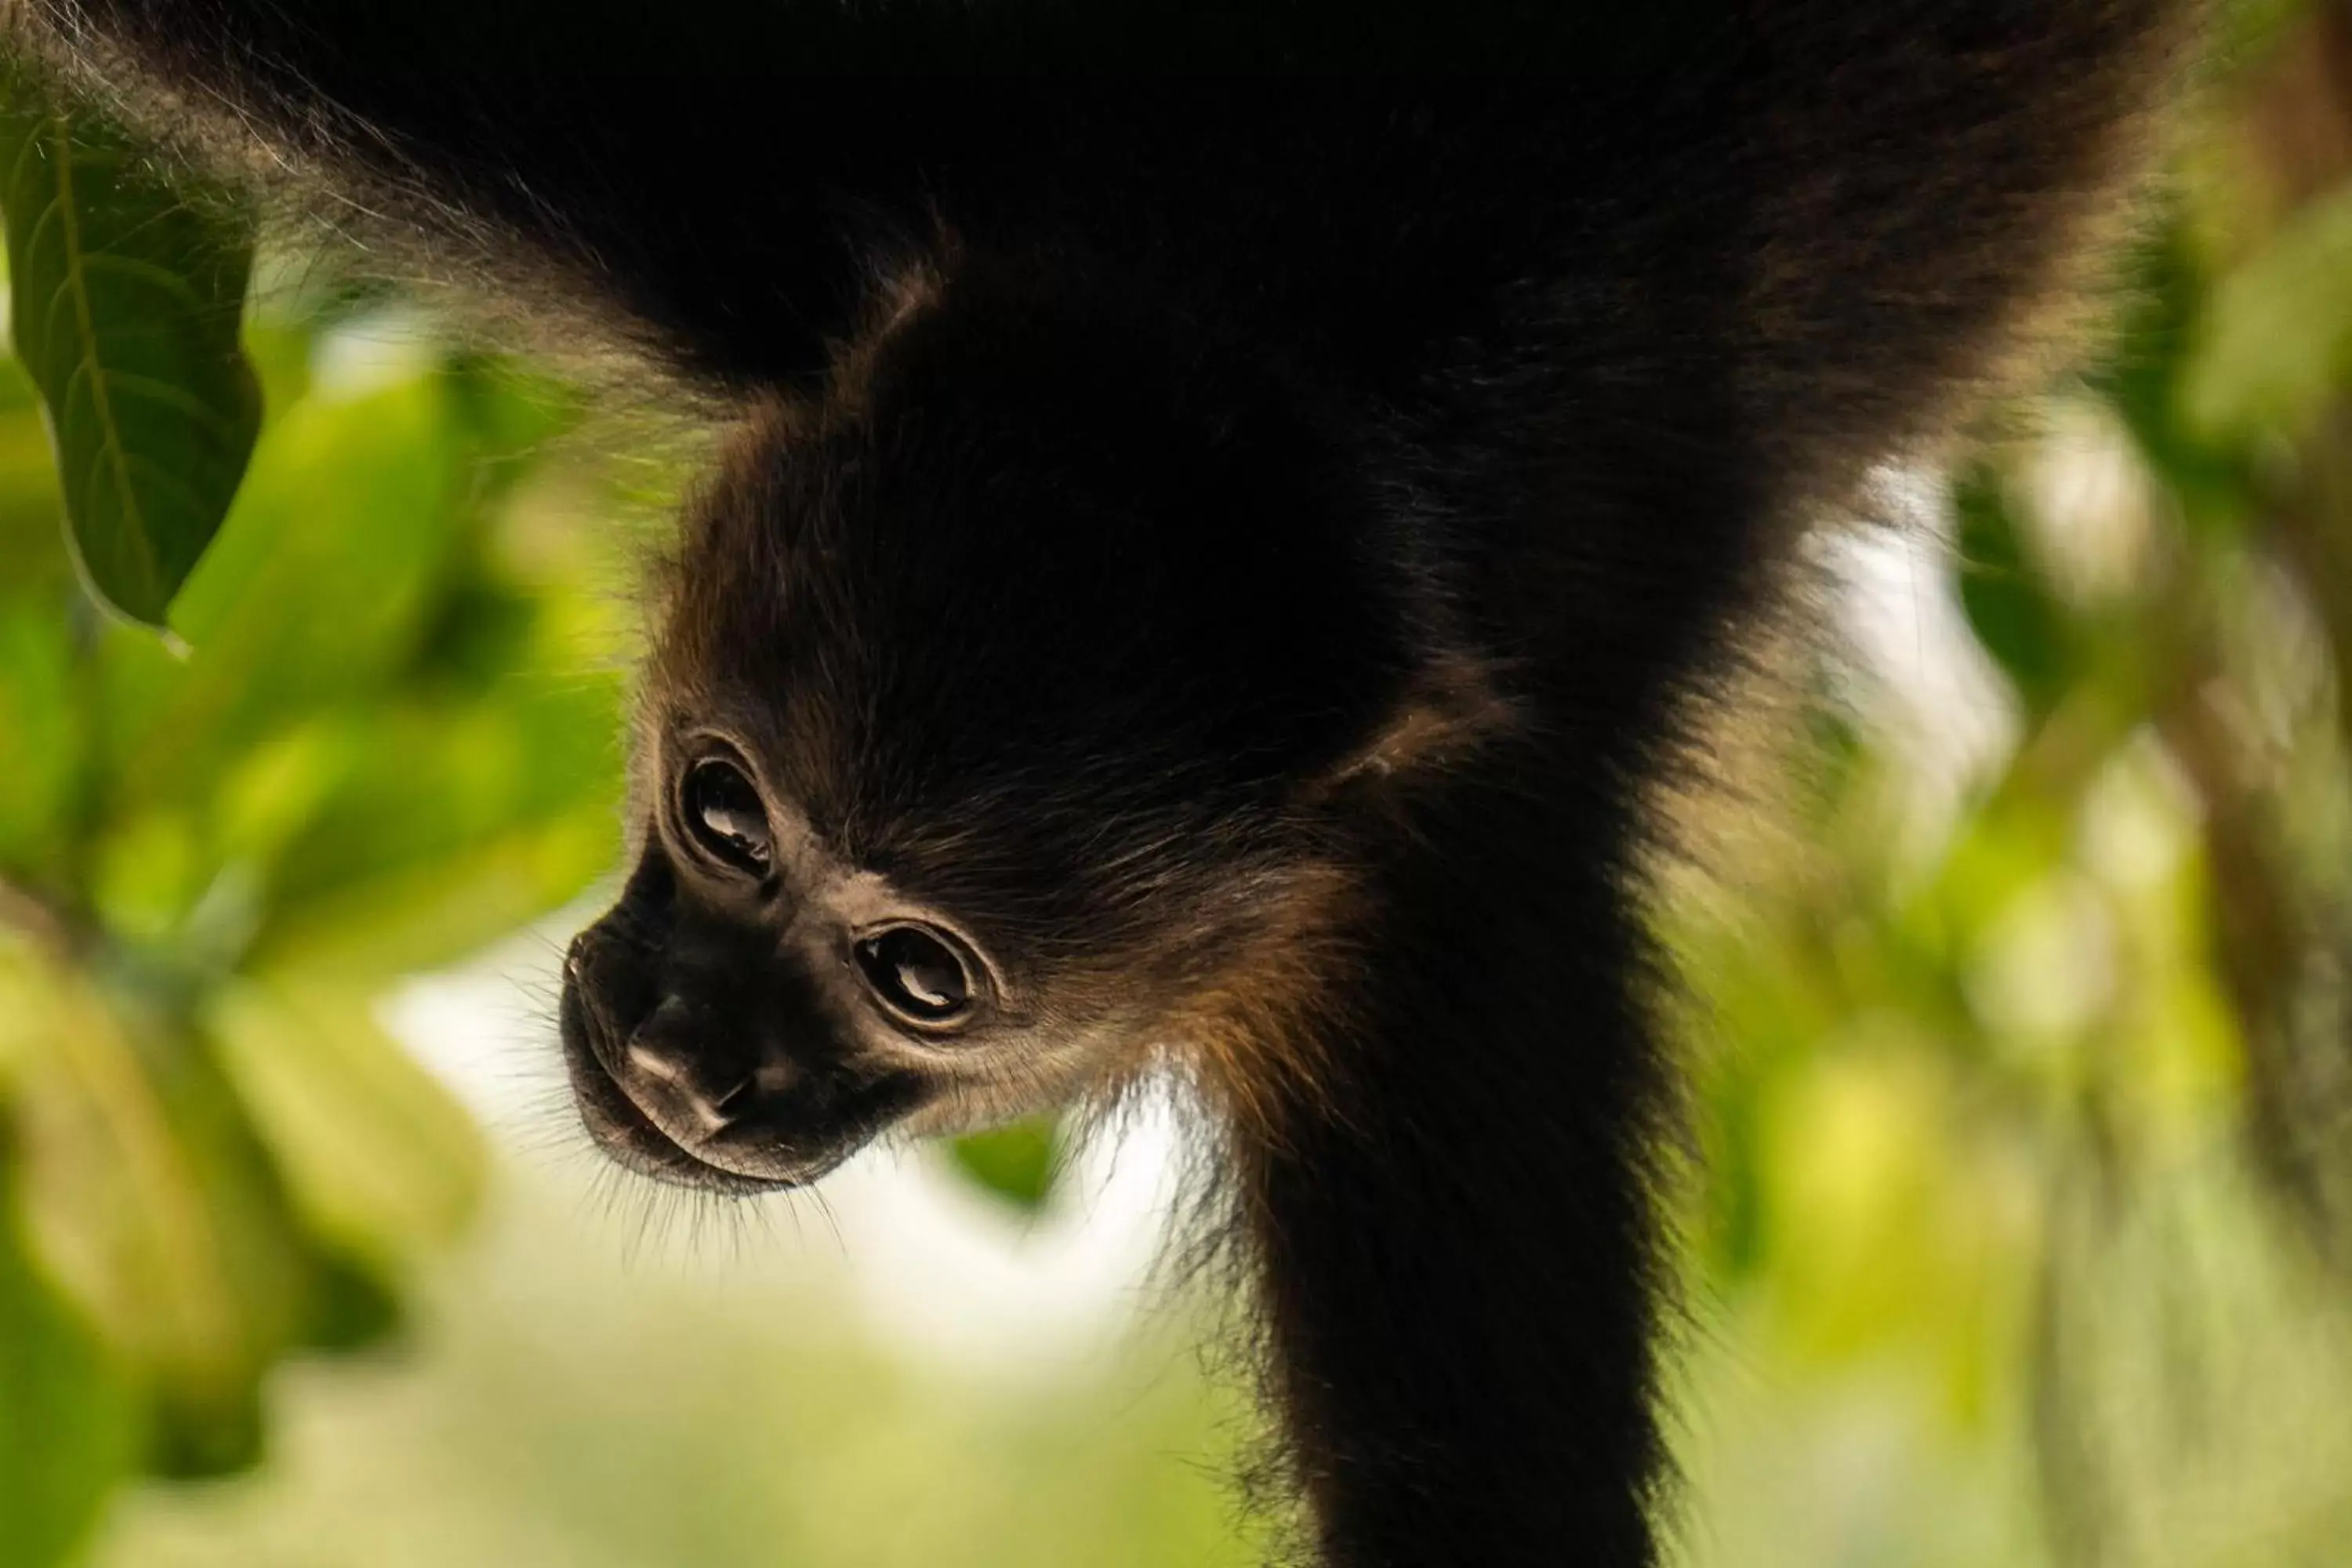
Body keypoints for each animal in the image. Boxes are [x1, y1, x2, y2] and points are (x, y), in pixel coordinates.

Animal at [18, 5, 2192, 1561]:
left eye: (920, 971)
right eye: (724, 811)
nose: (682, 1061)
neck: (1314, 406)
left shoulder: (1444, 922)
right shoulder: (777, 248)